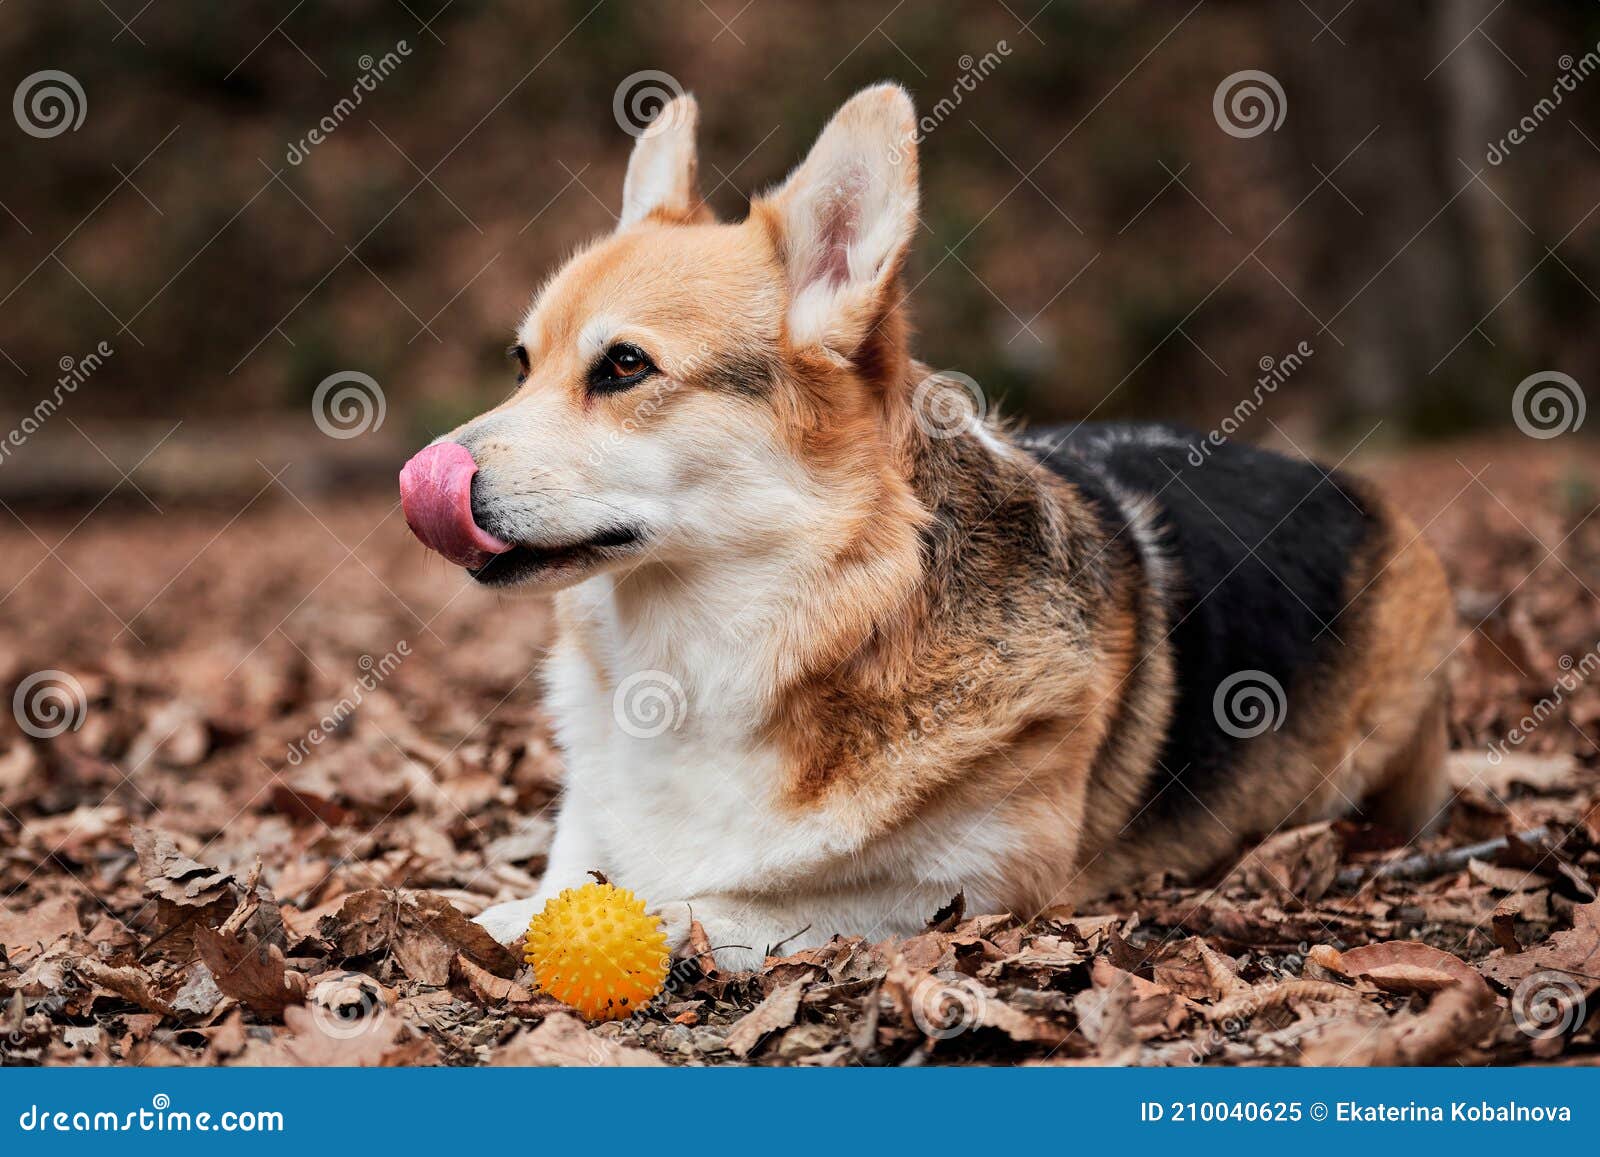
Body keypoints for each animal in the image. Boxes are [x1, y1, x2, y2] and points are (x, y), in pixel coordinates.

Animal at [396, 86, 1452, 966]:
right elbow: (581, 879)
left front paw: (511, 921)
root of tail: (1353, 487)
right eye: (521, 363)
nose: (421, 479)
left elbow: (693, 901)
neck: (709, 648)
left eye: (622, 365)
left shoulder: (967, 885)